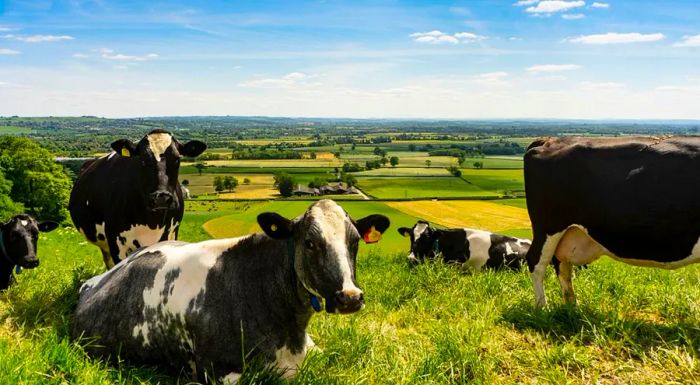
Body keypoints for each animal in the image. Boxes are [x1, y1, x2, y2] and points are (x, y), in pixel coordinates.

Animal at [71, 128, 208, 268]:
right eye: (142, 160)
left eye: (177, 160)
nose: (161, 197)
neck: (152, 222)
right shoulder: (115, 241)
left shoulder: (170, 235)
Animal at [524, 135, 700, 306]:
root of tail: (549, 140)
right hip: (549, 226)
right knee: (536, 261)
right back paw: (542, 307)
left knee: (562, 265)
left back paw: (572, 306)